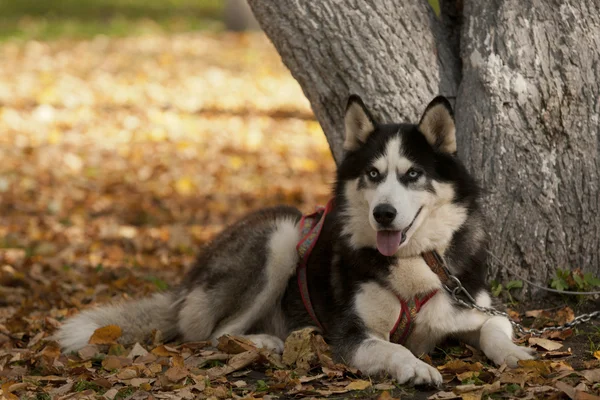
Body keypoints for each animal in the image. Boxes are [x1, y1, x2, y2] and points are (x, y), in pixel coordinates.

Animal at [57, 95, 536, 386]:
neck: (414, 261)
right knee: (211, 335)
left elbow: (496, 328)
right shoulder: (352, 334)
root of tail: (191, 275)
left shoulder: (474, 307)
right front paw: (417, 367)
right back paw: (265, 342)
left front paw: (515, 354)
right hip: (283, 235)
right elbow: (394, 349)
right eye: (373, 174)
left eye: (413, 174)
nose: (383, 213)